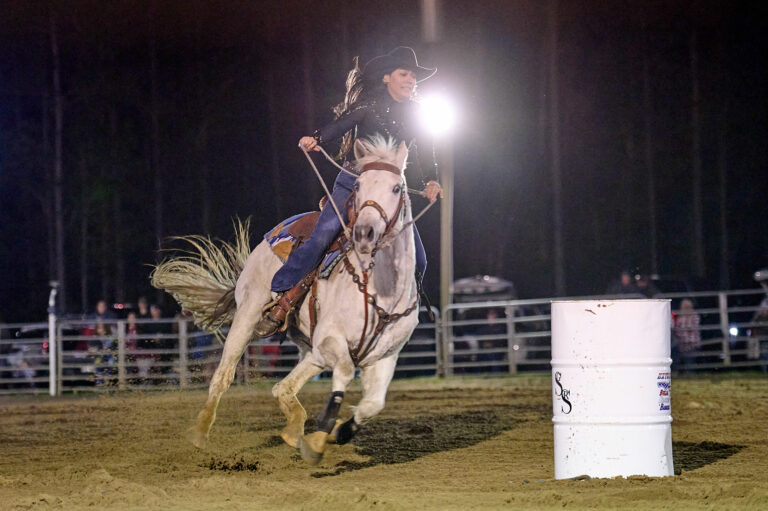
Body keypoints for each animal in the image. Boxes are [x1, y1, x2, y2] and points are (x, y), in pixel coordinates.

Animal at [152, 136, 420, 464]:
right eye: (358, 186)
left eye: (396, 188)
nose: (364, 232)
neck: (381, 291)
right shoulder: (331, 340)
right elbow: (345, 372)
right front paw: (319, 437)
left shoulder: (385, 357)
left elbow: (373, 405)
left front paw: (339, 432)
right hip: (249, 314)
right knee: (224, 374)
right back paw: (201, 432)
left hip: (310, 349)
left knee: (283, 387)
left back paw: (293, 430)